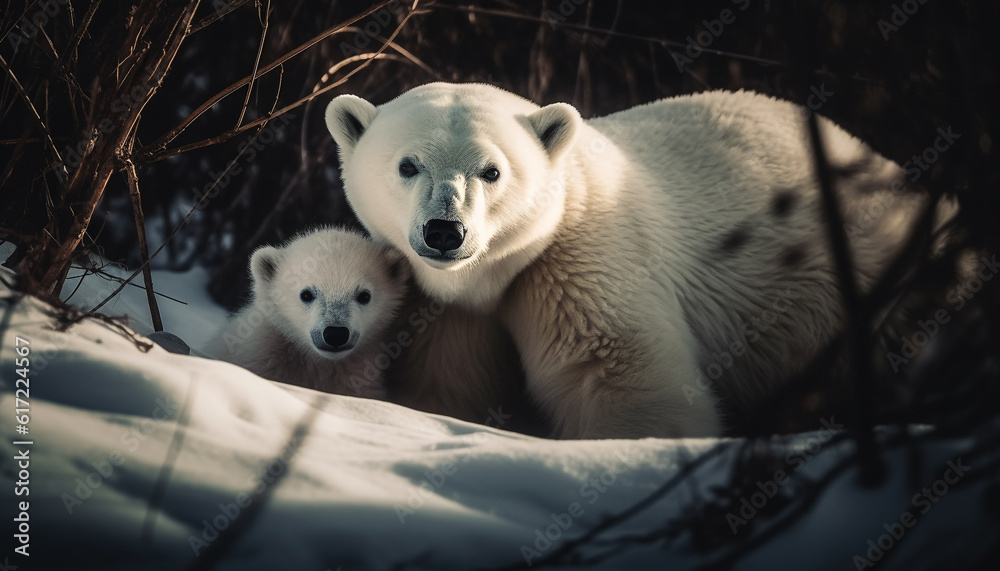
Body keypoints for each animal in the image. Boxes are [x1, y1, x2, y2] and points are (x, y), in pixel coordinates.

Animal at [328, 84, 928, 438]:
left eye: (492, 170)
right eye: (408, 165)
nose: (444, 231)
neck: (492, 277)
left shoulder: (583, 259)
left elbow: (621, 375)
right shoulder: (447, 314)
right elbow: (445, 385)